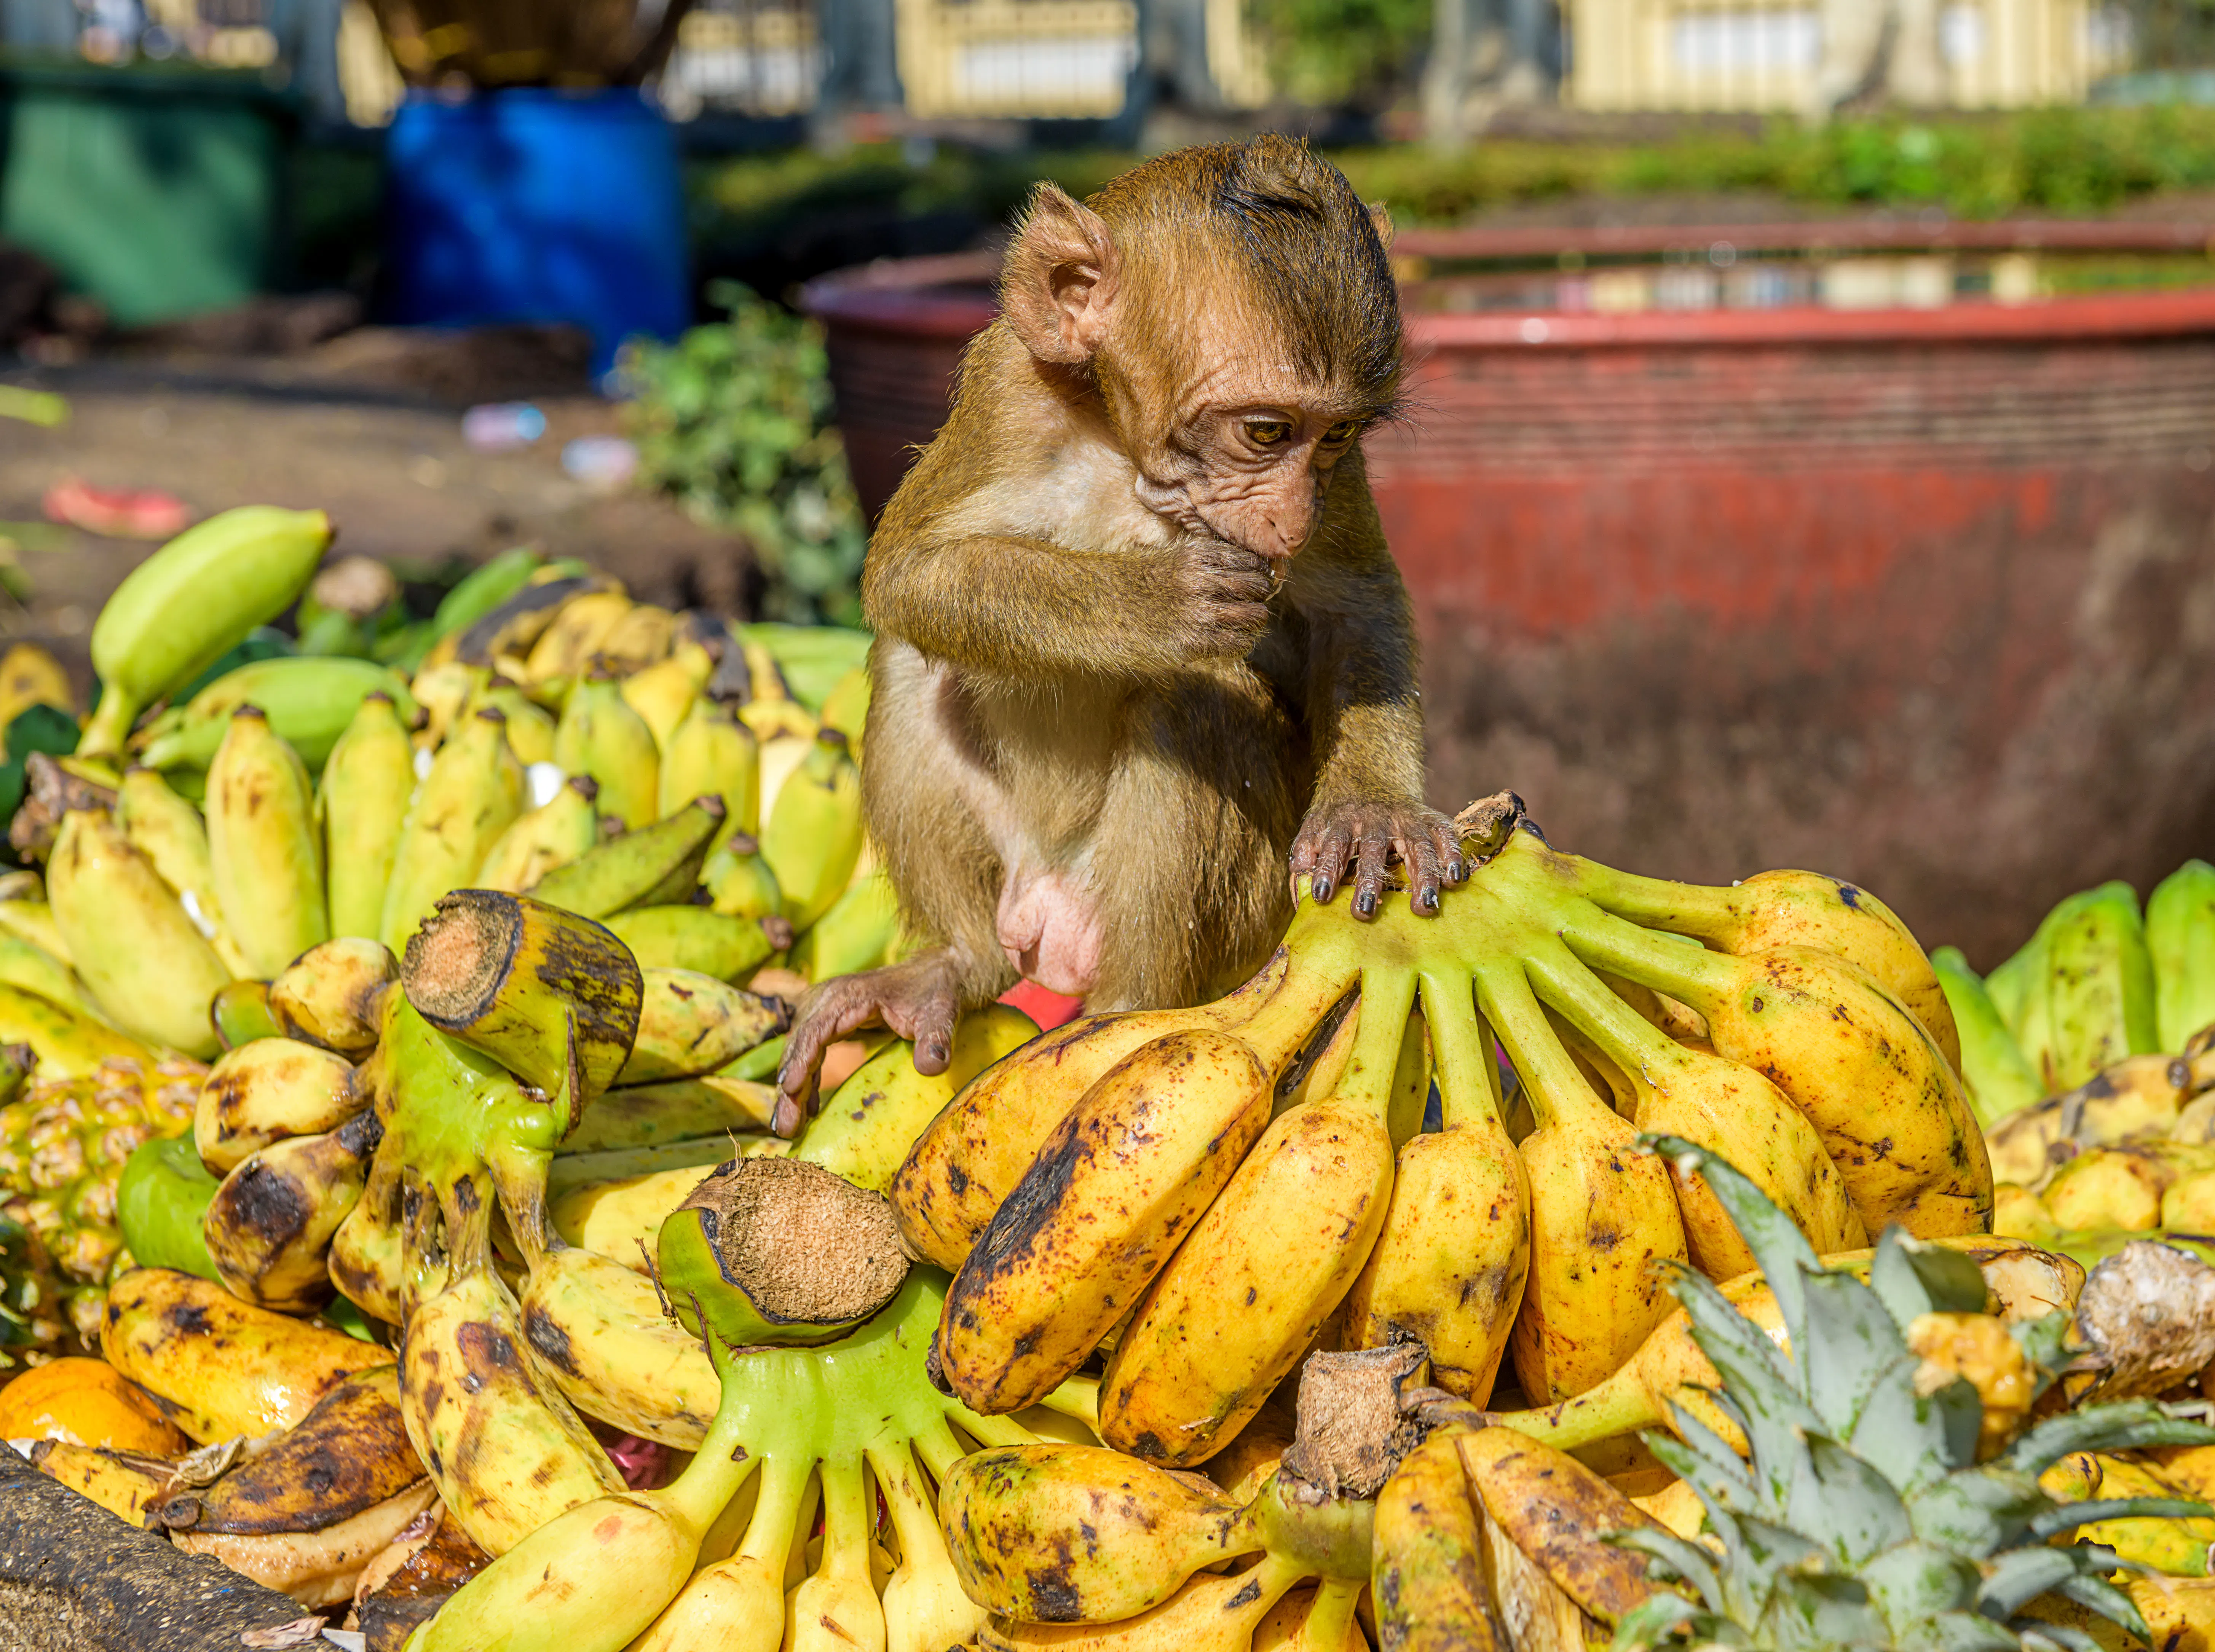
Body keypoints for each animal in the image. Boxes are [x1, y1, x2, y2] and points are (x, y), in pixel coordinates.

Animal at [772, 135, 1461, 1135]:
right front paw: (1156, 602)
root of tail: (1048, 918)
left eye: (1334, 438)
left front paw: (1372, 808)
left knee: (1192, 707)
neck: (1122, 450)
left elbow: (1351, 603)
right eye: (1265, 432)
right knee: (915, 667)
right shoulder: (1005, 388)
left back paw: (1131, 1020)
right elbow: (905, 576)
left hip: (1246, 920)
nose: (1292, 517)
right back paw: (956, 963)